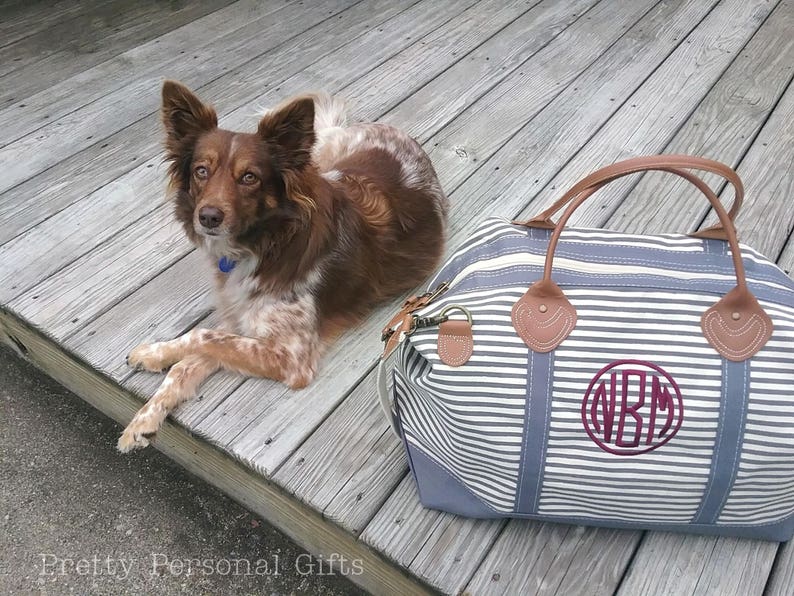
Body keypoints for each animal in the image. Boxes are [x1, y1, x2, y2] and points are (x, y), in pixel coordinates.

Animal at [117, 80, 446, 452]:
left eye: (249, 177)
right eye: (201, 171)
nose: (208, 217)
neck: (266, 244)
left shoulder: (291, 357)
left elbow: (203, 336)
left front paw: (153, 359)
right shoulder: (241, 323)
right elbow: (190, 360)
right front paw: (145, 410)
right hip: (320, 162)